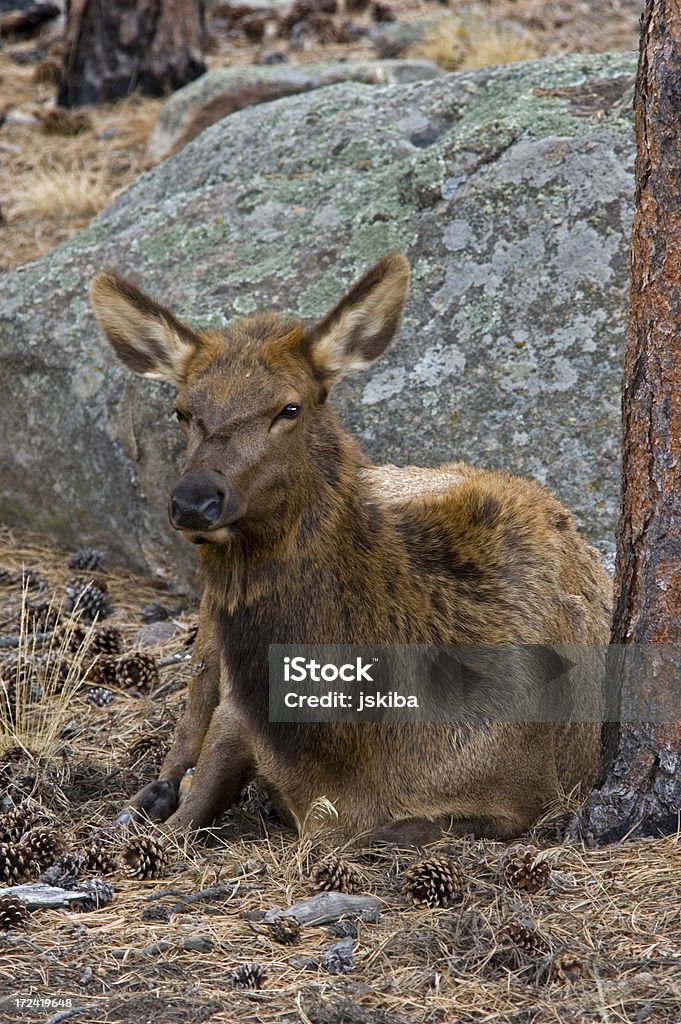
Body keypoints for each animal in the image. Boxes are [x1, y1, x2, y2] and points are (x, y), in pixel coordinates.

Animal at [91, 251, 610, 843]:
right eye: (181, 411)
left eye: (289, 408)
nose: (194, 500)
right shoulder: (241, 714)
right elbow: (195, 804)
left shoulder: (526, 799)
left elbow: (382, 830)